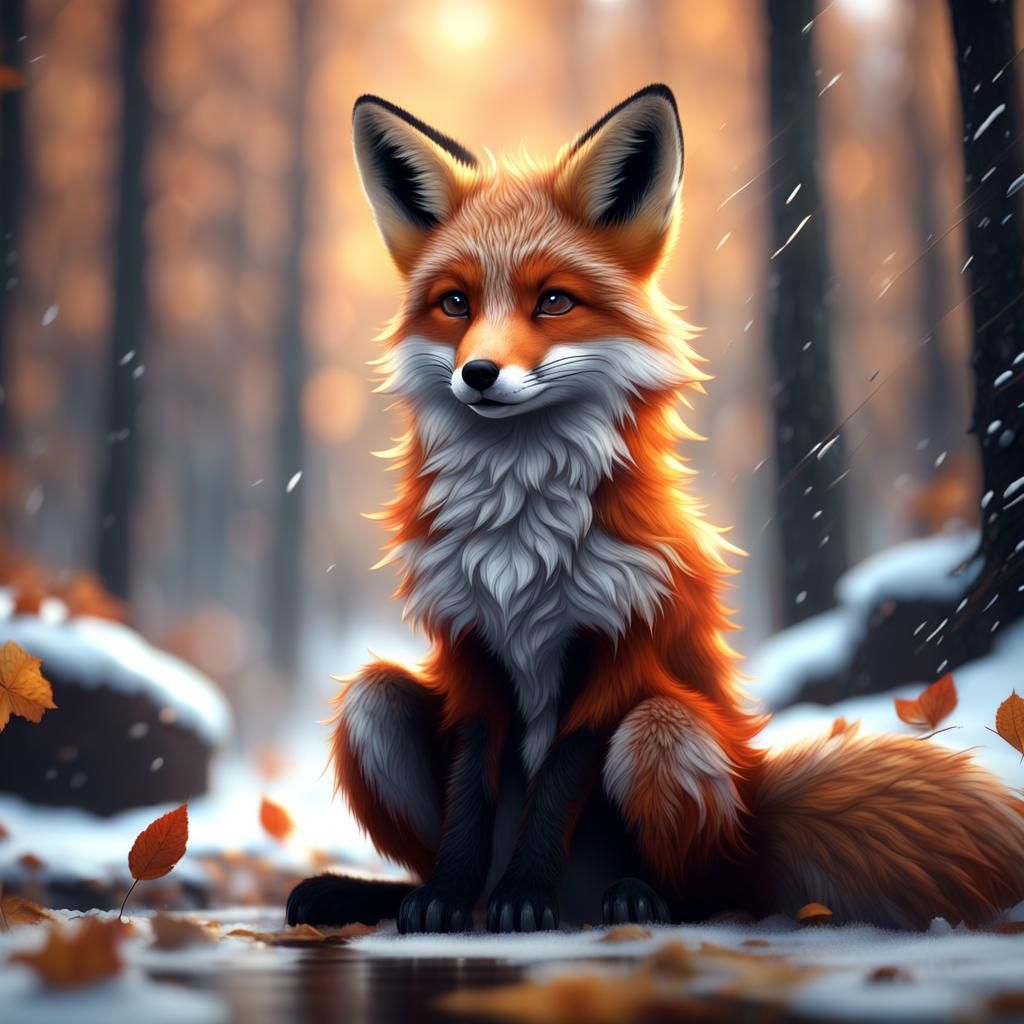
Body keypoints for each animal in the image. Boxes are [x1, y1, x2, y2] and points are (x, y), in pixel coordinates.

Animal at [287, 84, 1024, 934]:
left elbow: (556, 788)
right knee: (387, 722)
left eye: (553, 301)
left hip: (667, 734)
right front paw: (444, 897)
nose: (478, 373)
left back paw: (629, 900)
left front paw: (523, 899)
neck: (520, 536)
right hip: (368, 705)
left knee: (704, 887)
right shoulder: (470, 646)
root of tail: (756, 809)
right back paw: (402, 896)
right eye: (455, 304)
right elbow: (471, 793)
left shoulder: (621, 645)